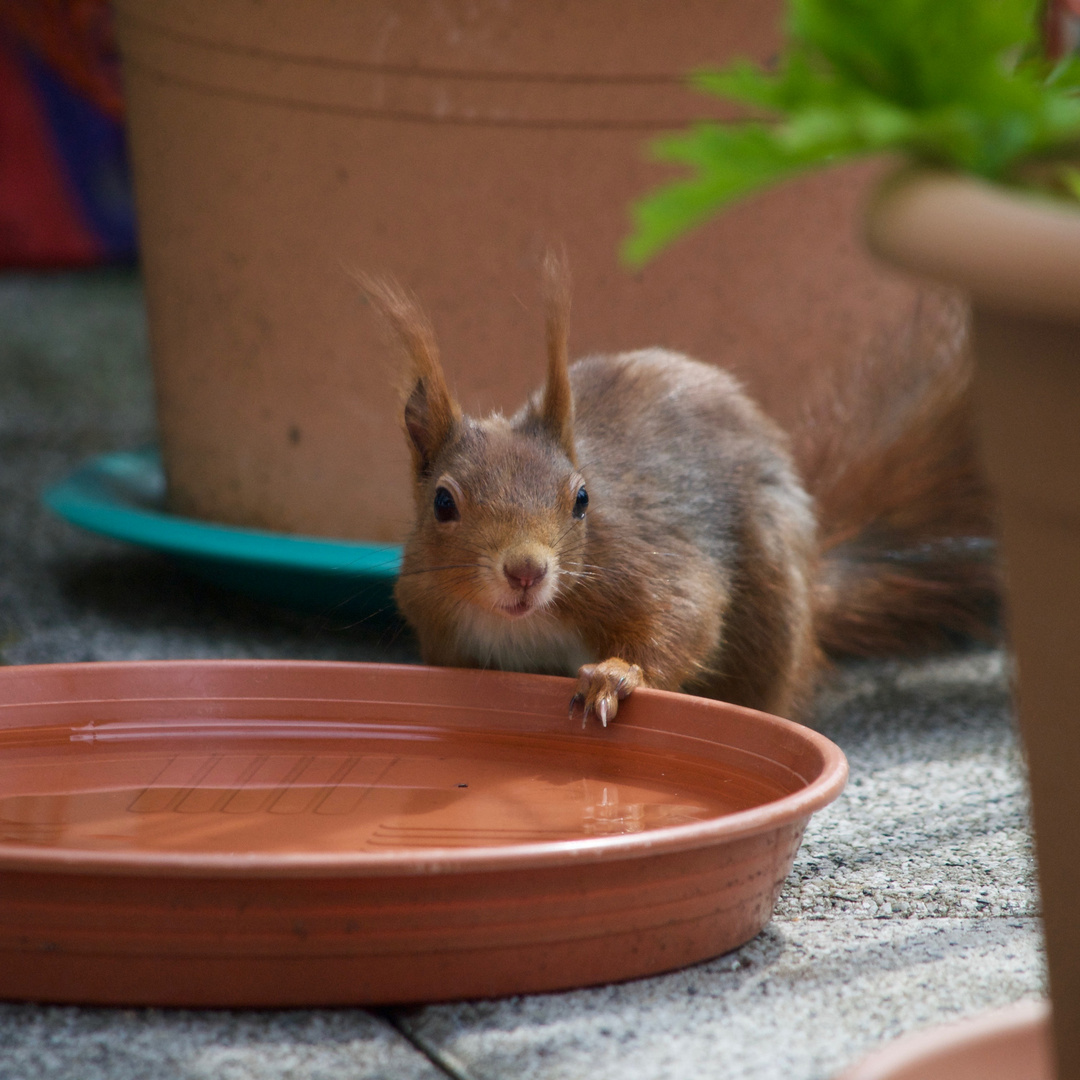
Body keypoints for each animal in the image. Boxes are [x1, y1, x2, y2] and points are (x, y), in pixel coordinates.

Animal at [362, 252, 993, 725]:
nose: (525, 572)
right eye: (443, 503)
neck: (517, 622)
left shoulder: (642, 562)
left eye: (582, 500)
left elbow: (685, 615)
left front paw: (614, 677)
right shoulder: (438, 626)